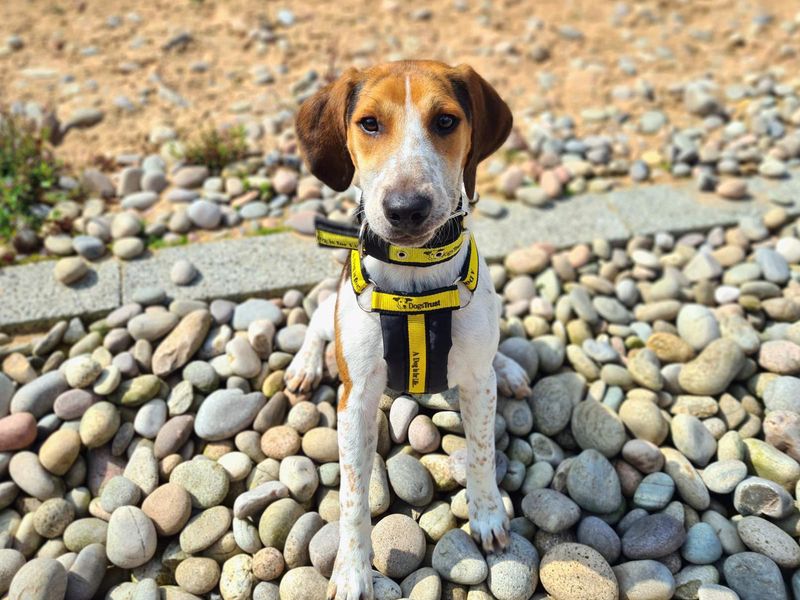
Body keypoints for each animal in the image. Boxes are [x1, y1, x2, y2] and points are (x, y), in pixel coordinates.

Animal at [284, 61, 528, 600]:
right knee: (316, 323)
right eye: (370, 124)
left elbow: (482, 453)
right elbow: (353, 493)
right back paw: (304, 365)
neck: (416, 276)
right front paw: (352, 572)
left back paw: (511, 368)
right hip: (332, 310)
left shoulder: (476, 385)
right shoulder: (354, 398)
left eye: (446, 121)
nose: (406, 208)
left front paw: (487, 516)